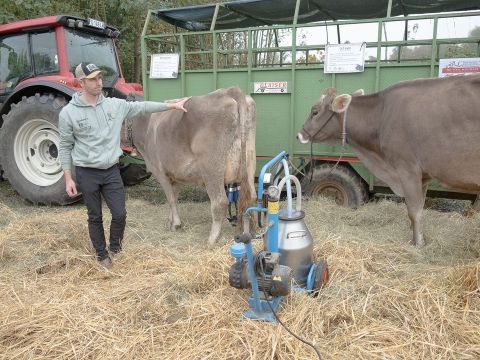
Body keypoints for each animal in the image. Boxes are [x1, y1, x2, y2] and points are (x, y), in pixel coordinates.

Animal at [129, 86, 256, 245]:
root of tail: (229, 91)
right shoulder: (174, 176)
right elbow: (175, 197)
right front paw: (171, 222)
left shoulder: (159, 171)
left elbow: (170, 198)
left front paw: (176, 224)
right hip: (249, 161)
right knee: (250, 198)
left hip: (212, 168)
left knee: (220, 201)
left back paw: (212, 239)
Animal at [298, 74, 480, 246]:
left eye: (315, 111)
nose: (299, 135)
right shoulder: (423, 176)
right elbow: (418, 208)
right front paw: (416, 235)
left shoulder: (407, 169)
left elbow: (414, 210)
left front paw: (418, 243)